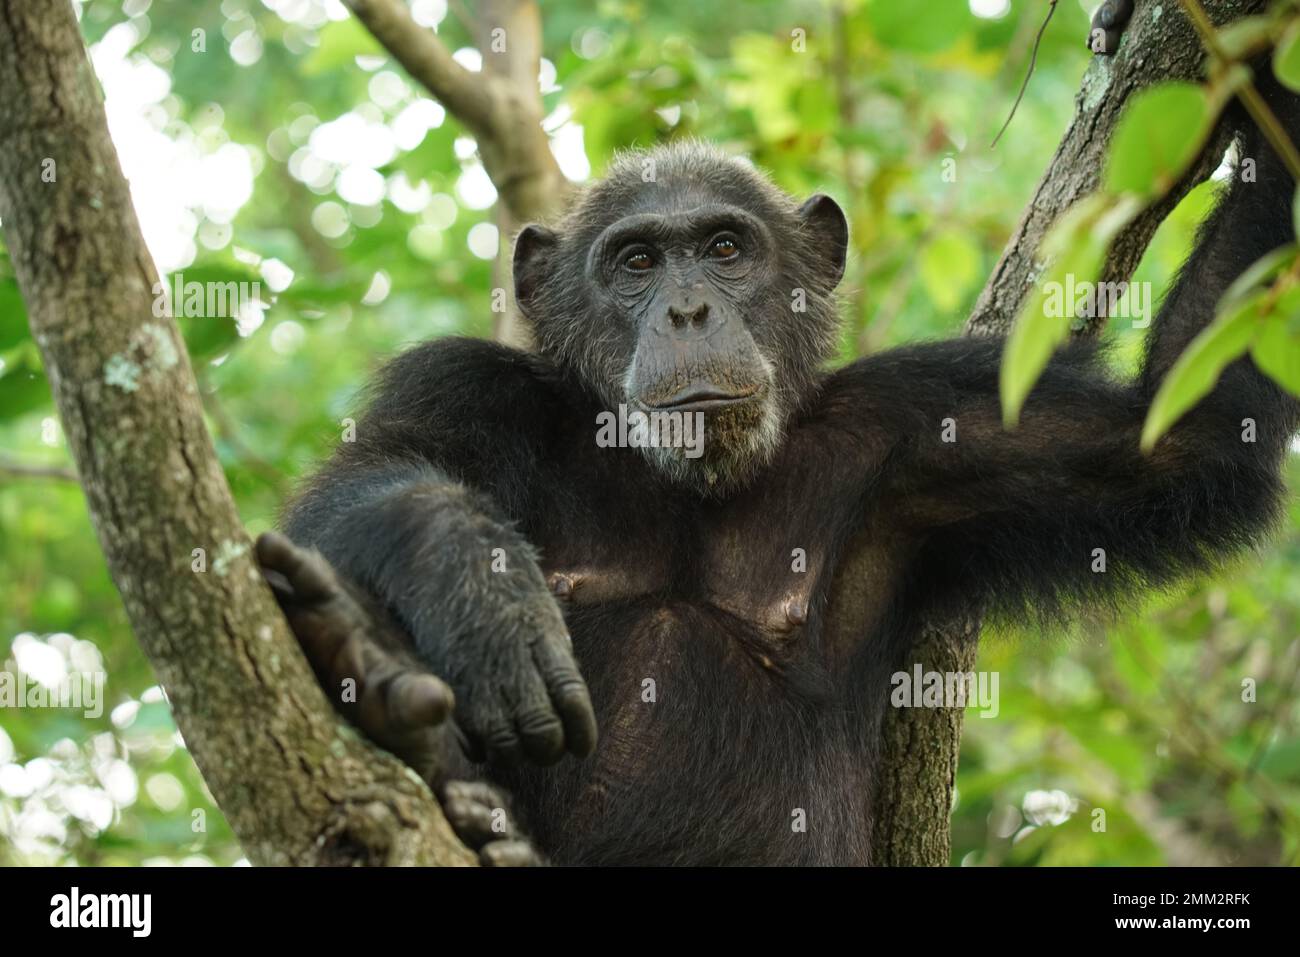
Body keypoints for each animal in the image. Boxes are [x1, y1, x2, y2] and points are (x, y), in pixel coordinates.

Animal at [256, 37, 1300, 863]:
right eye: (637, 261)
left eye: (725, 249)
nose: (687, 309)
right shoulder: (465, 387)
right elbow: (362, 485)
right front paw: (475, 585)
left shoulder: (925, 421)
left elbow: (1178, 440)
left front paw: (1259, 71)